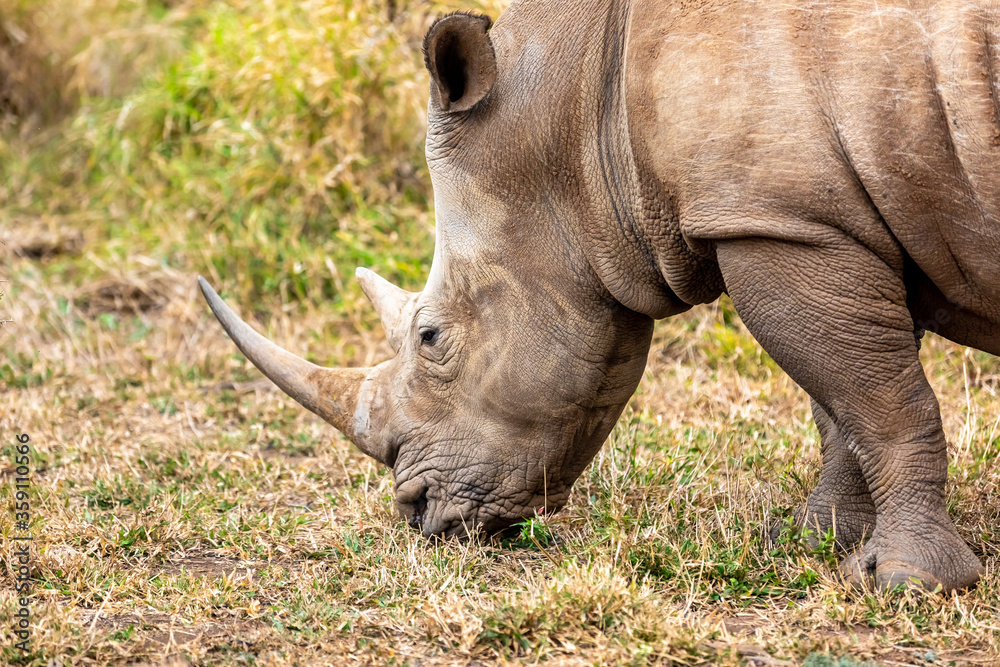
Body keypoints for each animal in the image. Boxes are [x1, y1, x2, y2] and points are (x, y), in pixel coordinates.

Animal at [199, 0, 1000, 592]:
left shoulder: (780, 219)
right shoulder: (827, 221)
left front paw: (909, 581)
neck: (582, 108)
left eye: (431, 338)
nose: (418, 513)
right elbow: (843, 405)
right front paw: (814, 541)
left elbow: (879, 400)